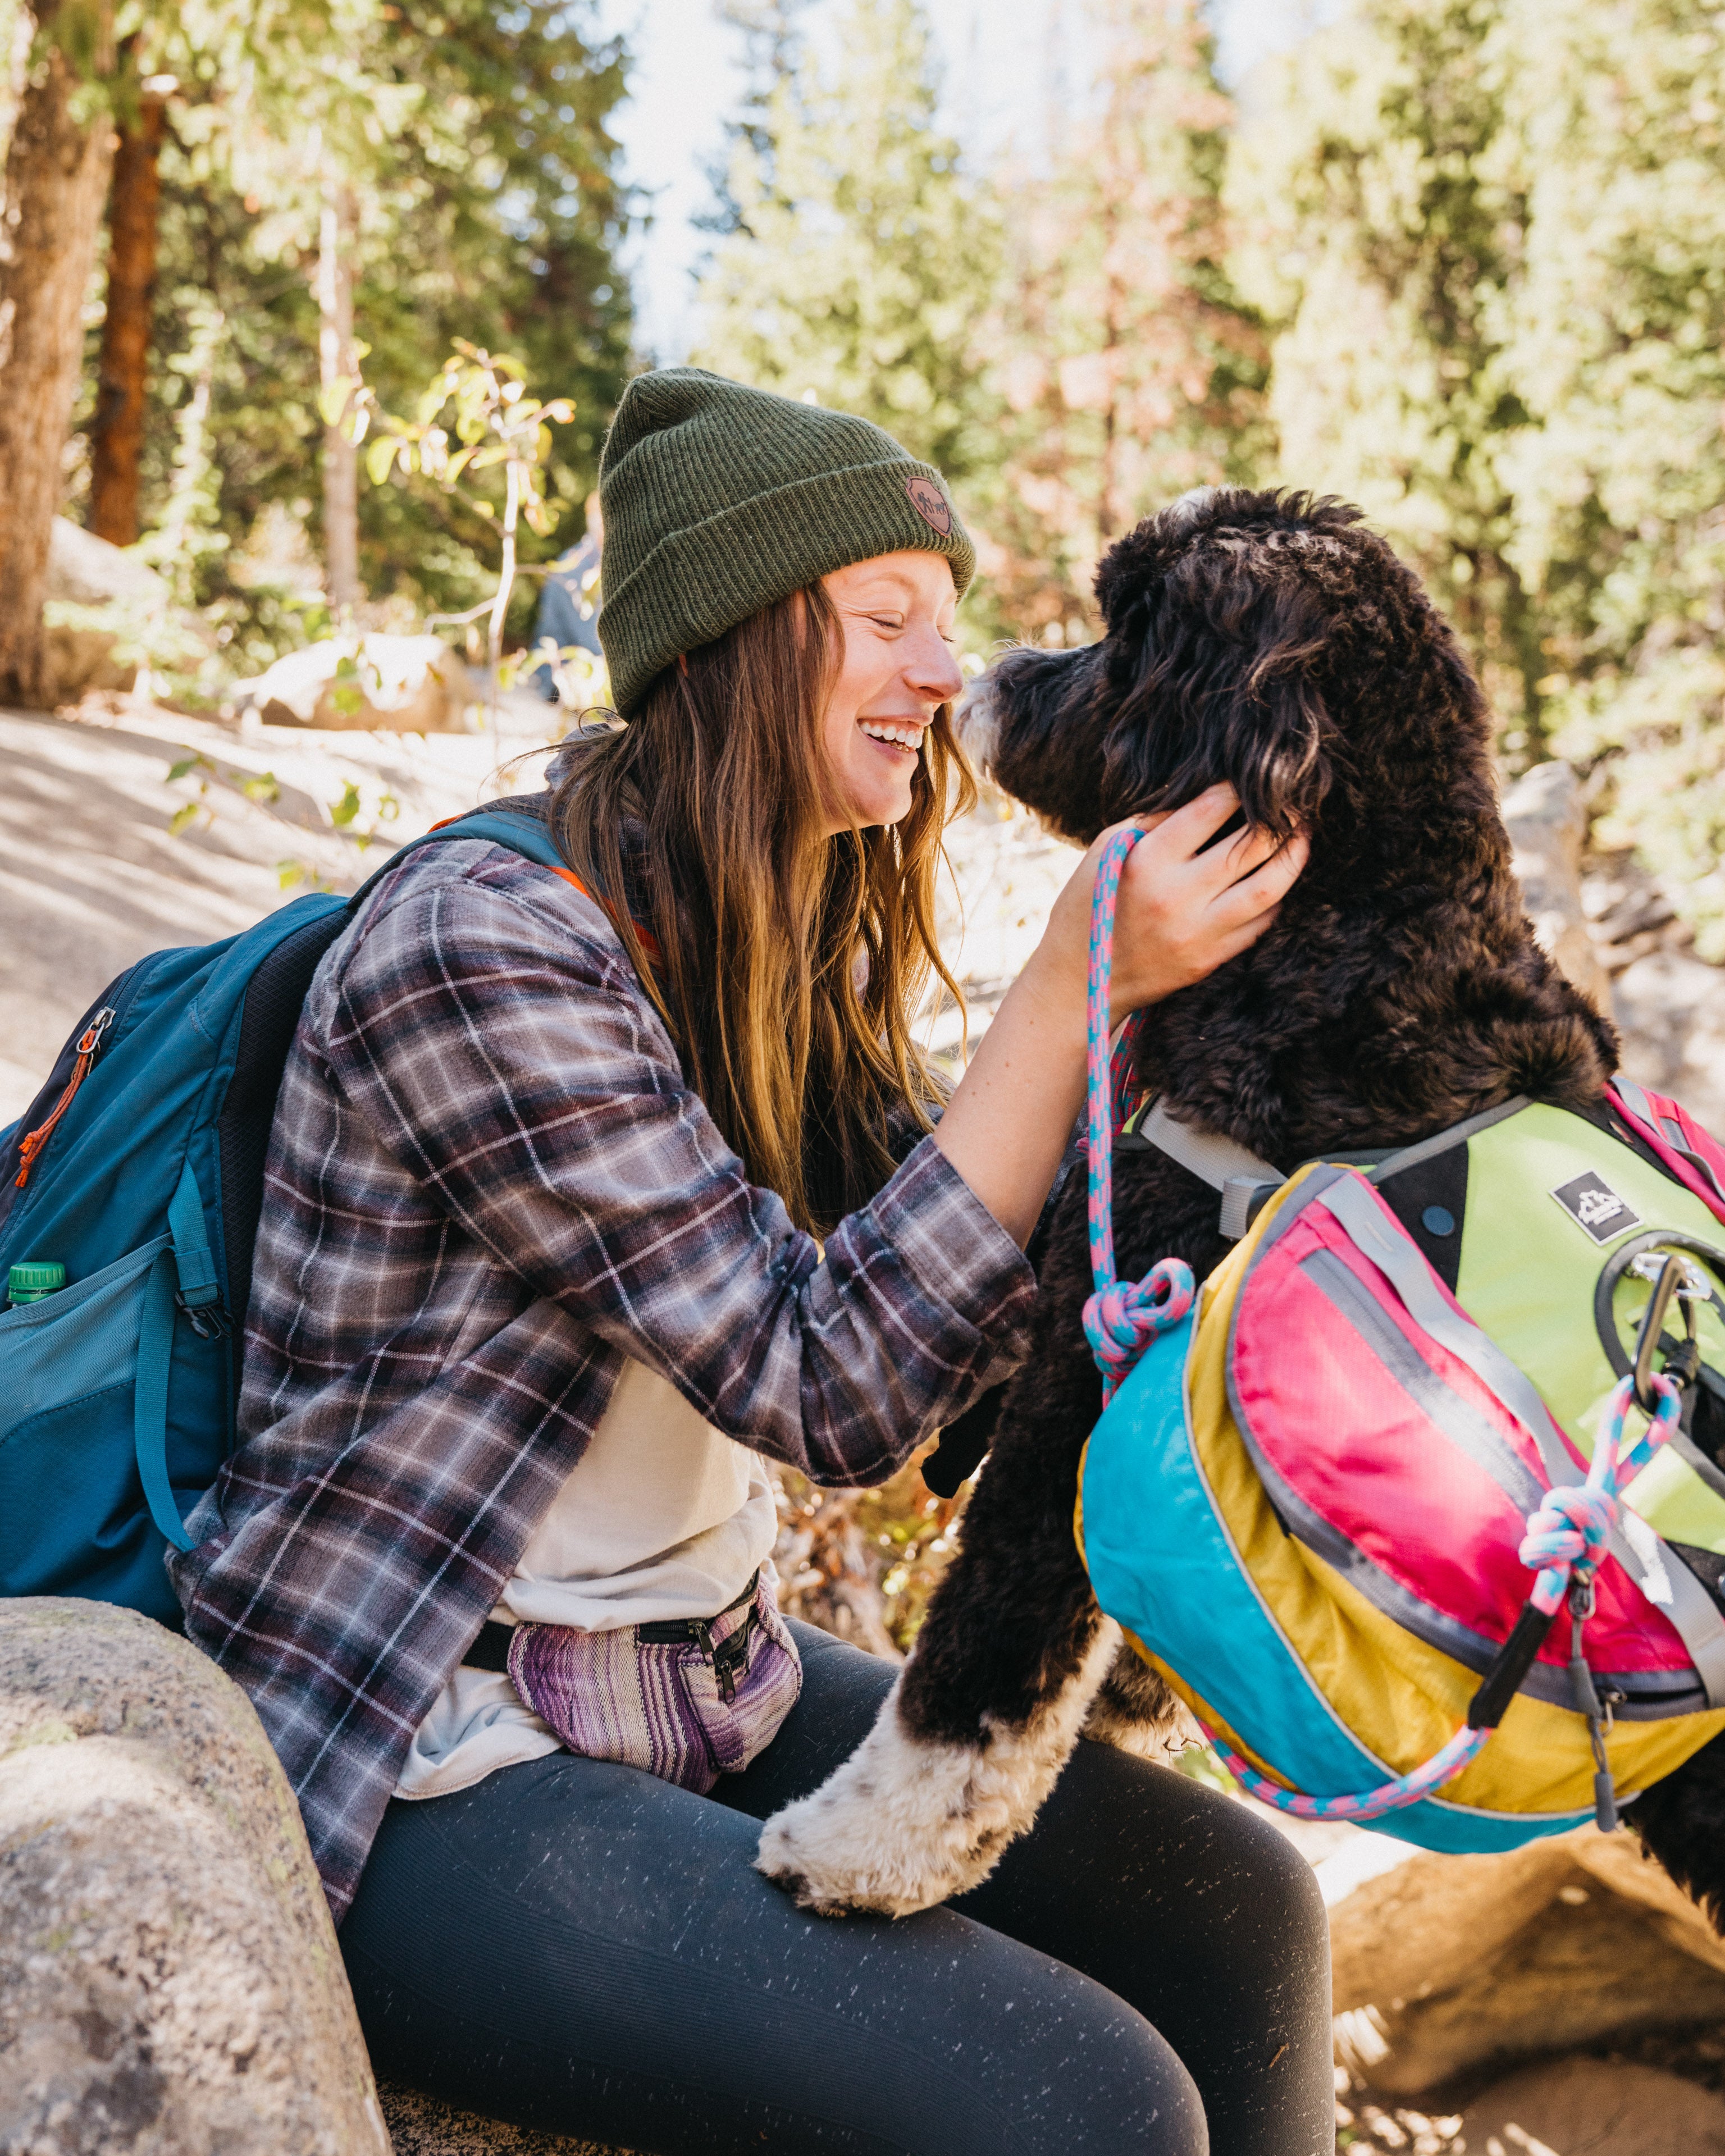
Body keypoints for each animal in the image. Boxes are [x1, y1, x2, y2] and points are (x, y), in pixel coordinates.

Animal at [763, 485, 1725, 1923]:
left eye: (1123, 634)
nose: (983, 675)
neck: (1357, 936)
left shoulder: (1084, 1361)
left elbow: (981, 1672)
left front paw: (857, 1852)